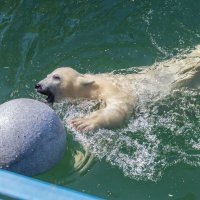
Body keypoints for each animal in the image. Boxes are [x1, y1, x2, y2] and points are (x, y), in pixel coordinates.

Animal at [35, 46, 200, 132]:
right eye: (47, 75)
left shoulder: (113, 89)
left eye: (56, 77)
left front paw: (83, 122)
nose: (38, 85)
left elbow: (118, 108)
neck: (93, 86)